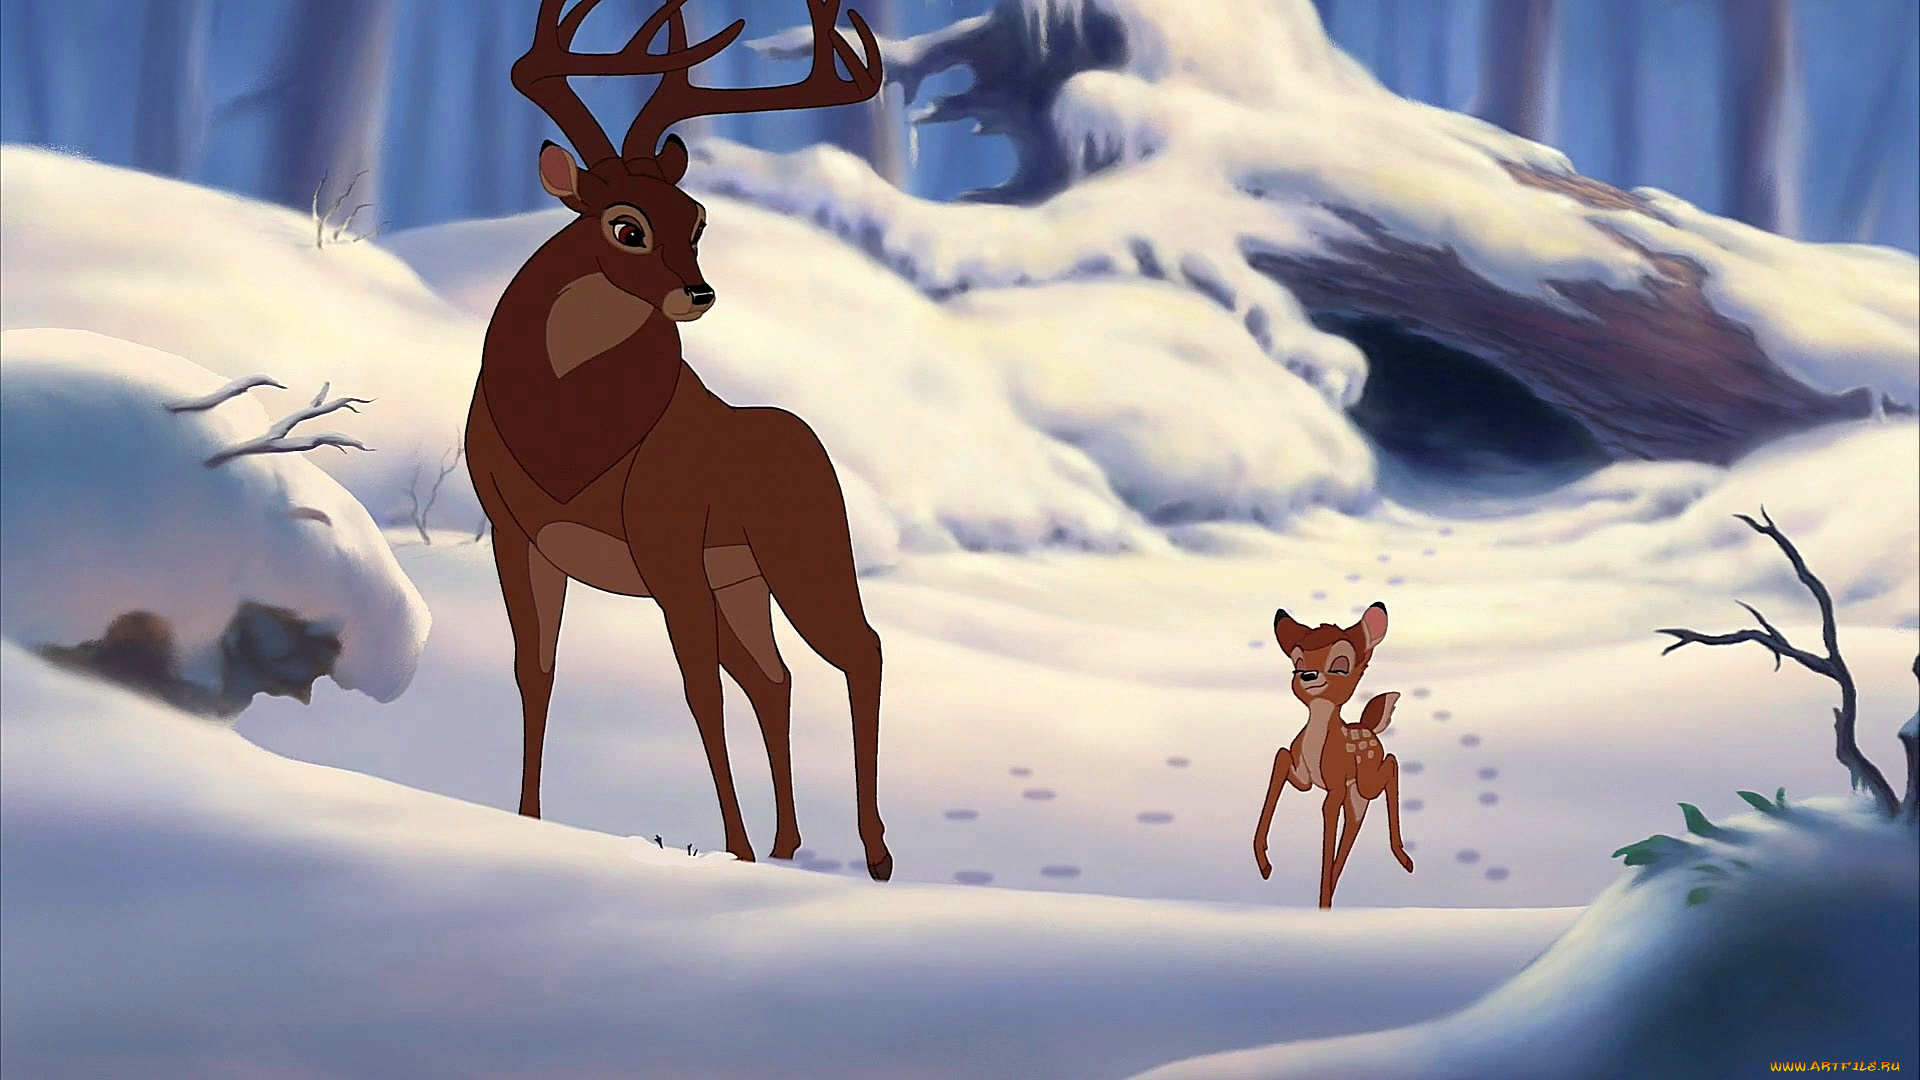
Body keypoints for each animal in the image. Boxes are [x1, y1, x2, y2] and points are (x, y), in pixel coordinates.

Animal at [465, 0, 894, 879]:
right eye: (624, 225)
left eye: (696, 217)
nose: (698, 293)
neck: (570, 442)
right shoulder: (515, 532)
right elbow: (536, 671)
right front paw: (525, 819)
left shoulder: (665, 542)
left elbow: (698, 690)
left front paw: (734, 850)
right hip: (741, 577)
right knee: (775, 677)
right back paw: (789, 843)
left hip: (803, 552)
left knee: (859, 650)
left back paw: (872, 855)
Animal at [1253, 602, 1415, 907]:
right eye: (1298, 665)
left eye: (1341, 666)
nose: (1308, 676)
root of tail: (1369, 726)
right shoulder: (1304, 778)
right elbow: (1280, 757)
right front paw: (1264, 863)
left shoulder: (1337, 785)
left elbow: (1327, 812)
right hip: (1357, 796)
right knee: (1352, 827)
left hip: (1364, 783)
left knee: (1391, 763)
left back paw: (1402, 860)